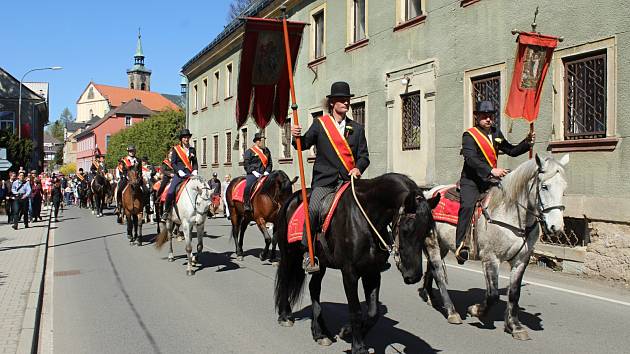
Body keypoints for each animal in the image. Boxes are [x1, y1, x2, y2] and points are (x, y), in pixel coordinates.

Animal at [274, 173, 442, 352]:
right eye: (406, 229)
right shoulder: (349, 274)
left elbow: (373, 313)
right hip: (289, 254)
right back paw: (285, 316)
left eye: (427, 231)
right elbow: (356, 311)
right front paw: (358, 346)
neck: (365, 219)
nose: (414, 276)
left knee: (314, 288)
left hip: (321, 263)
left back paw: (320, 332)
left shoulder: (372, 273)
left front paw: (348, 332)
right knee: (285, 279)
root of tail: (290, 199)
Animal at [422, 154, 572, 340]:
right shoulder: (491, 258)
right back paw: (451, 311)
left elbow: (514, 293)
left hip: (441, 245)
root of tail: (429, 192)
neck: (511, 215)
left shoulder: (521, 260)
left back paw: (430, 296)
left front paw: (514, 326)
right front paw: (476, 310)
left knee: (431, 269)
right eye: (544, 186)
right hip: (433, 243)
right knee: (439, 273)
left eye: (564, 188)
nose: (556, 227)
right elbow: (492, 294)